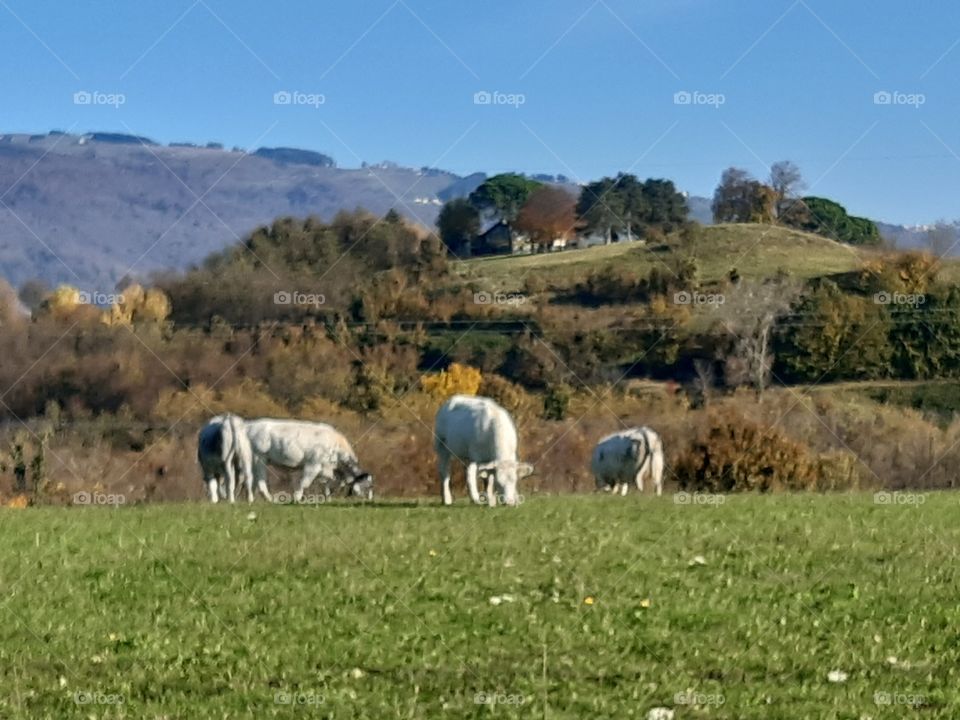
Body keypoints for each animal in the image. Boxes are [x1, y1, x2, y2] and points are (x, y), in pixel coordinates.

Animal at [243, 419, 373, 503]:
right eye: (367, 486)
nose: (370, 499)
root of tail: (250, 425)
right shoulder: (313, 465)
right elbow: (304, 483)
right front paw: (297, 498)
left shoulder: (326, 469)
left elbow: (329, 482)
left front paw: (327, 497)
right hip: (259, 458)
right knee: (260, 481)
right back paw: (268, 499)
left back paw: (251, 500)